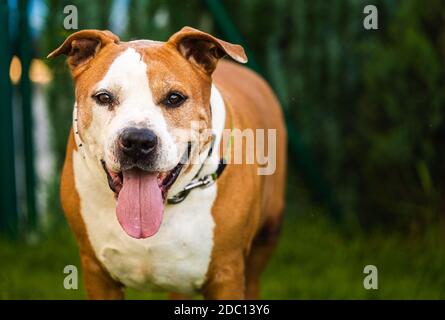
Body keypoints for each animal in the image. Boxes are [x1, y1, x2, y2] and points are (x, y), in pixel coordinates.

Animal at [48, 26, 286, 298]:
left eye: (174, 98)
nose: (137, 140)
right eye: (104, 97)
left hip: (265, 240)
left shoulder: (227, 274)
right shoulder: (98, 274)